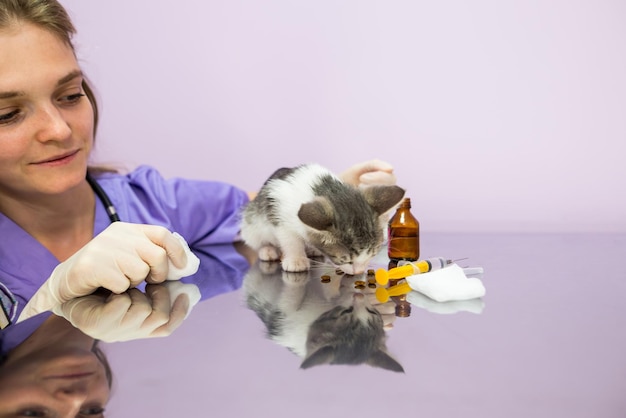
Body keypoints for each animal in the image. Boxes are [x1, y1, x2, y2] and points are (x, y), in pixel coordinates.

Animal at [239, 163, 404, 274]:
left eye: (372, 255)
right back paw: (267, 250)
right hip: (251, 222)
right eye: (346, 260)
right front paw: (296, 260)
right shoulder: (279, 213)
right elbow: (290, 239)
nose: (358, 272)